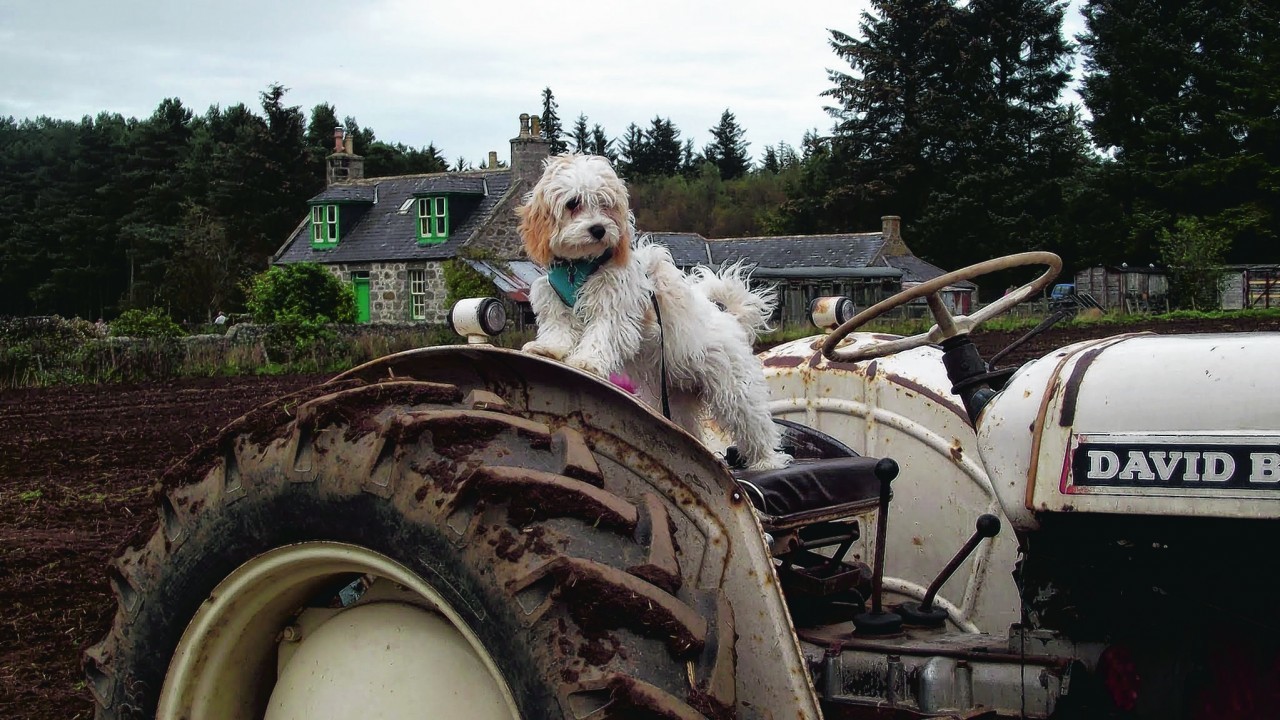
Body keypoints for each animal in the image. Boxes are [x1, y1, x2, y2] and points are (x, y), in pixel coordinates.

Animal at [514, 153, 783, 468]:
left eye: (605, 204)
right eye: (573, 203)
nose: (599, 229)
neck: (579, 266)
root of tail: (731, 319)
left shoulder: (613, 309)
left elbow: (600, 334)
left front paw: (587, 361)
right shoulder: (555, 303)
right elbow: (558, 331)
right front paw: (547, 350)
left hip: (735, 389)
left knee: (755, 425)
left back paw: (767, 461)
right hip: (676, 398)